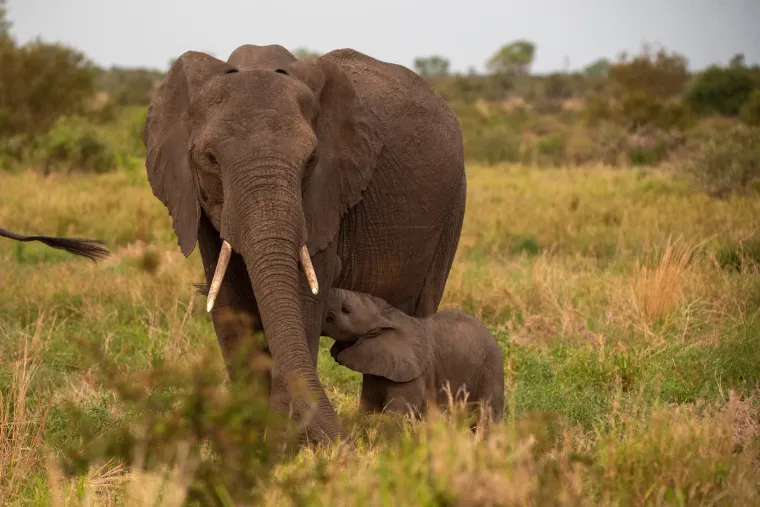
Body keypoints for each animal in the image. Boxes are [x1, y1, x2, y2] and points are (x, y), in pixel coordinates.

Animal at [142, 44, 466, 446]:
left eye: (311, 159)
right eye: (210, 160)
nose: (346, 445)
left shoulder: (327, 194)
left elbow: (305, 297)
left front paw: (284, 446)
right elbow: (229, 301)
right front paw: (251, 444)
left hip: (452, 206)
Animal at [323, 288, 504, 423]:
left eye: (345, 309)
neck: (389, 316)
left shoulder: (415, 373)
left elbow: (399, 411)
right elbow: (369, 406)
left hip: (491, 367)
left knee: (487, 415)